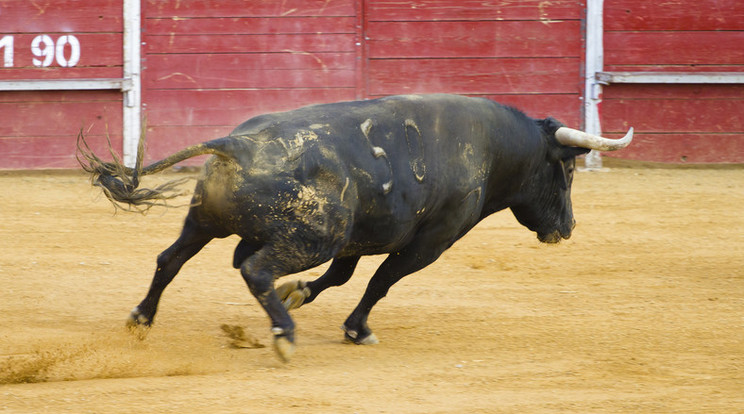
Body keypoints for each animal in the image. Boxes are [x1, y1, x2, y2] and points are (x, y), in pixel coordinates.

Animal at [78, 94, 632, 362]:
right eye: (567, 170)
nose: (569, 227)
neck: (492, 147)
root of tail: (235, 143)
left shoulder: (365, 233)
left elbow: (342, 276)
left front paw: (300, 292)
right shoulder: (431, 241)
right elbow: (380, 282)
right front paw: (356, 329)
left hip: (204, 221)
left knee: (171, 260)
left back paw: (142, 318)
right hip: (313, 237)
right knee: (254, 269)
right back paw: (284, 335)